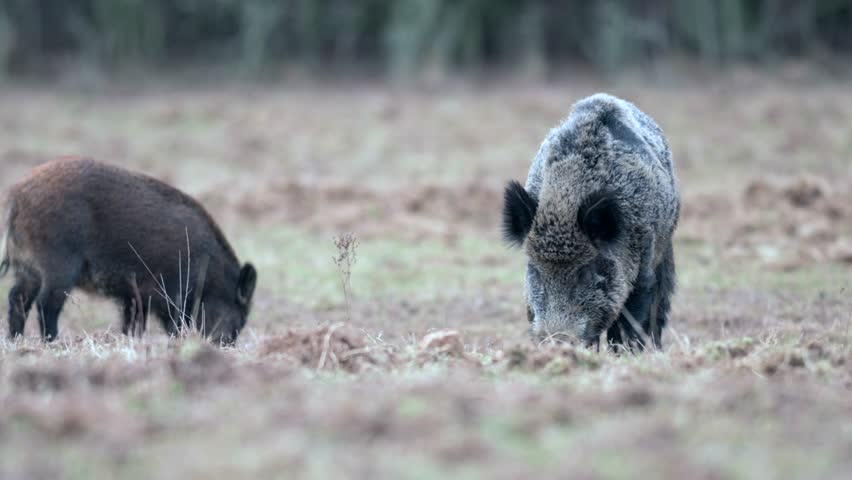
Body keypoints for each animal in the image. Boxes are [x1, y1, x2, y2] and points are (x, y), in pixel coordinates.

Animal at [1, 158, 257, 345]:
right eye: (240, 315)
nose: (225, 344)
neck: (209, 271)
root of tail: (16, 197)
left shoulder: (134, 296)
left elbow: (132, 323)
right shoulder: (173, 295)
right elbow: (174, 324)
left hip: (27, 268)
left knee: (17, 297)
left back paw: (15, 341)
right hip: (59, 266)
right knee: (46, 303)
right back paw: (52, 342)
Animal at [502, 94, 679, 350]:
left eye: (586, 271)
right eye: (535, 270)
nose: (557, 340)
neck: (564, 202)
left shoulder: (642, 269)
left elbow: (629, 323)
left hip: (664, 248)